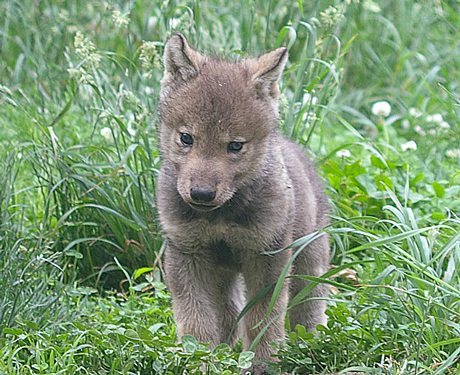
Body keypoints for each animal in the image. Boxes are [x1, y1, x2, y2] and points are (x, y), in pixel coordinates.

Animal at [156, 33, 328, 374]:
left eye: (235, 146)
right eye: (186, 138)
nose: (201, 194)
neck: (220, 217)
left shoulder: (268, 257)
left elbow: (263, 322)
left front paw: (262, 366)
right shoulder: (187, 254)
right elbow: (196, 324)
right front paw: (201, 364)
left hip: (308, 263)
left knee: (308, 314)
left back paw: (309, 347)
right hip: (223, 276)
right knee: (228, 317)